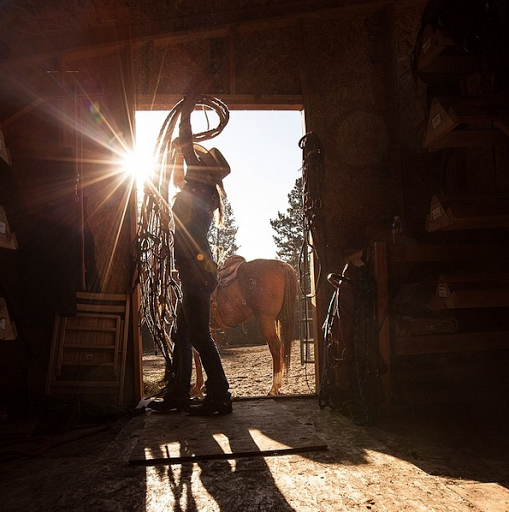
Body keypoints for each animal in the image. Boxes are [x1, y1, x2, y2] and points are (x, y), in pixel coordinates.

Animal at [192, 256, 300, 396]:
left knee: (275, 346)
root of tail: (282, 265)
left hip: (265, 319)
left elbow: (197, 354)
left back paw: (273, 388)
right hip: (277, 319)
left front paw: (198, 386)